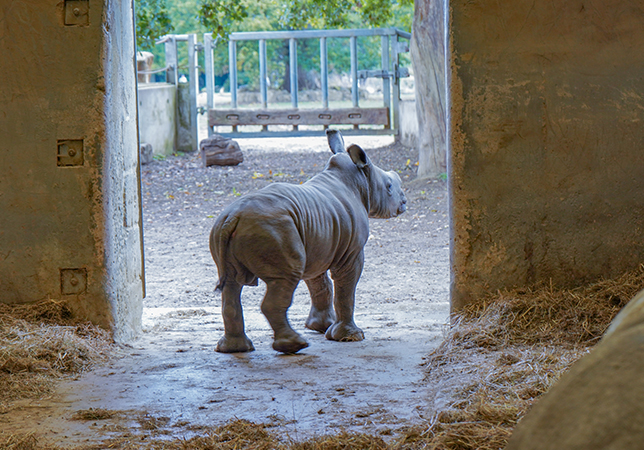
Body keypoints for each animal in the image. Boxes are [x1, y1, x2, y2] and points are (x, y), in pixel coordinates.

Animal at [210, 129, 407, 354]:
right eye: (389, 186)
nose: (404, 202)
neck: (361, 181)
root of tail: (233, 217)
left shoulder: (319, 242)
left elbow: (320, 284)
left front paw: (322, 327)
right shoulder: (351, 253)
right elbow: (345, 289)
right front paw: (350, 337)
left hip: (225, 230)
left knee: (231, 285)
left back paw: (235, 349)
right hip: (273, 229)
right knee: (284, 280)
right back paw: (295, 345)